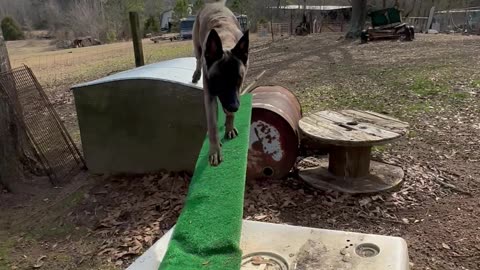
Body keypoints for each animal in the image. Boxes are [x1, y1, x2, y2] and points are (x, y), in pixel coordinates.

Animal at [192, 0, 249, 167]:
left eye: (239, 79)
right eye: (220, 80)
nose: (234, 106)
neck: (225, 42)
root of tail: (213, 3)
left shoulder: (238, 89)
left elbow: (229, 114)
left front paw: (229, 126)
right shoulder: (209, 94)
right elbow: (212, 124)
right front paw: (215, 150)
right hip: (196, 45)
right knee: (197, 58)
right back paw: (195, 74)